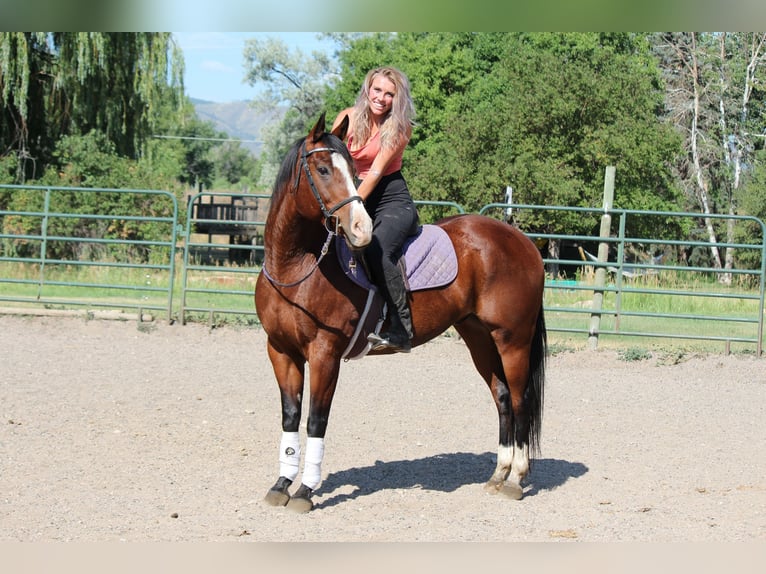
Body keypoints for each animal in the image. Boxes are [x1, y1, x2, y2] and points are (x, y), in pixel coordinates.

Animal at [255, 113, 547, 513]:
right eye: (323, 169)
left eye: (352, 170)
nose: (360, 229)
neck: (296, 270)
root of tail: (523, 242)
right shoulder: (281, 351)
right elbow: (290, 416)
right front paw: (282, 483)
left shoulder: (325, 353)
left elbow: (316, 420)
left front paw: (305, 490)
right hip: (478, 337)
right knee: (502, 397)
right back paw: (498, 474)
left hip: (513, 339)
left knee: (520, 400)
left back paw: (516, 478)